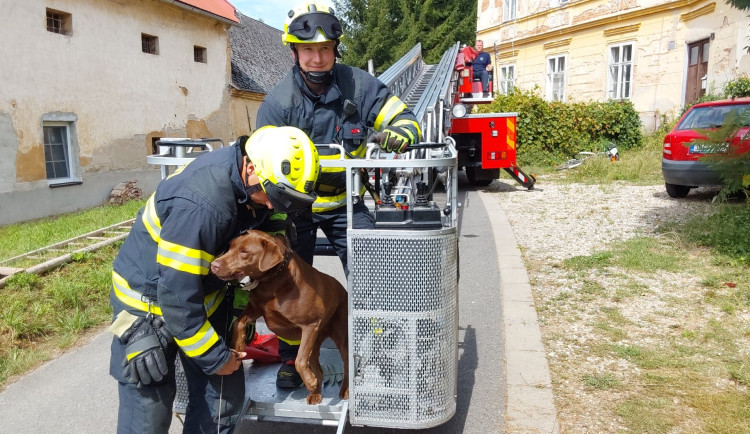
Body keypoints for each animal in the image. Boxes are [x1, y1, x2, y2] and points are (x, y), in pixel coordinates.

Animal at [210, 231, 352, 404]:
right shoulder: (255, 309)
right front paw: (238, 345)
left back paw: (344, 390)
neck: (273, 280)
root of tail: (343, 290)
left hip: (340, 337)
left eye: (244, 252)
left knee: (346, 364)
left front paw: (309, 381)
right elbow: (238, 322)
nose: (213, 265)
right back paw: (315, 393)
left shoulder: (309, 325)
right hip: (314, 343)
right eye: (230, 247)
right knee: (318, 369)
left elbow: (299, 360)